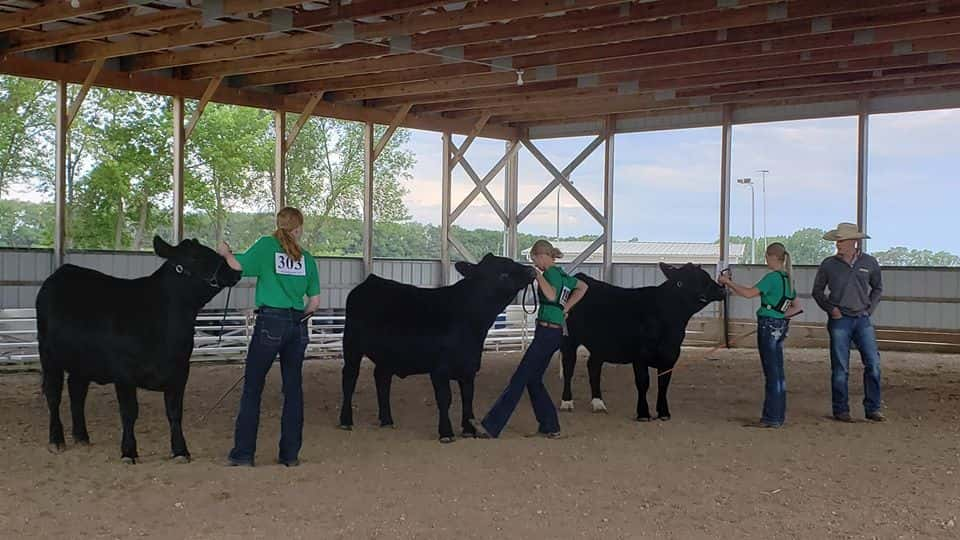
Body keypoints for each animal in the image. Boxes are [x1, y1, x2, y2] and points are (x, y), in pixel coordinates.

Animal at [37, 234, 240, 462]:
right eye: (194, 257)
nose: (233, 270)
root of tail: (62, 272)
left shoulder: (180, 371)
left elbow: (174, 412)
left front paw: (180, 450)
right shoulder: (124, 374)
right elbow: (129, 413)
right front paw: (128, 451)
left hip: (82, 361)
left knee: (77, 392)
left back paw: (82, 436)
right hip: (48, 355)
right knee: (53, 394)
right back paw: (56, 440)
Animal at [338, 253, 536, 442]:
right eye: (503, 274)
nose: (531, 270)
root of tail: (371, 280)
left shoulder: (469, 368)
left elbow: (468, 398)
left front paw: (468, 430)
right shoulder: (439, 370)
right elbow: (445, 399)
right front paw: (446, 433)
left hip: (387, 355)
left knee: (382, 379)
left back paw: (386, 420)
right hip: (351, 346)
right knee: (349, 378)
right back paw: (346, 420)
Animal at [560, 264, 724, 420]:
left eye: (706, 277)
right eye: (681, 282)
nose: (721, 289)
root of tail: (580, 277)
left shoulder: (671, 356)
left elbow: (663, 384)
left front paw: (664, 413)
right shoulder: (640, 356)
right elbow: (643, 383)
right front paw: (643, 414)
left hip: (599, 345)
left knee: (593, 367)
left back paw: (598, 403)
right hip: (569, 339)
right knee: (568, 368)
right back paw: (567, 402)